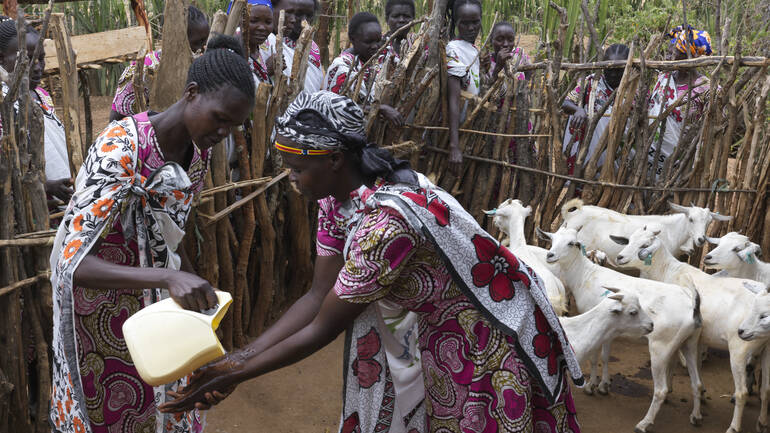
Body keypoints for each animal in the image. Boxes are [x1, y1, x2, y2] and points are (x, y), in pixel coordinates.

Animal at [536, 226, 704, 432]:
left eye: (571, 243)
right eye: (552, 240)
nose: (550, 255)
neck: (586, 275)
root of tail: (692, 303)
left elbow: (595, 357)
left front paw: (592, 386)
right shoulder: (609, 330)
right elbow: (605, 356)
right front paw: (603, 385)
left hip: (661, 347)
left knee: (661, 390)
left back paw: (644, 423)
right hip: (690, 342)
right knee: (697, 383)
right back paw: (696, 417)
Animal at [612, 226, 768, 432]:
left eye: (644, 245)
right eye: (628, 240)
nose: (620, 257)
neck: (668, 271)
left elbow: (671, 363)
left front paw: (669, 389)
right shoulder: (693, 339)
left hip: (739, 348)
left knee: (742, 392)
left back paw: (734, 426)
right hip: (767, 350)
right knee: (766, 390)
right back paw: (762, 422)